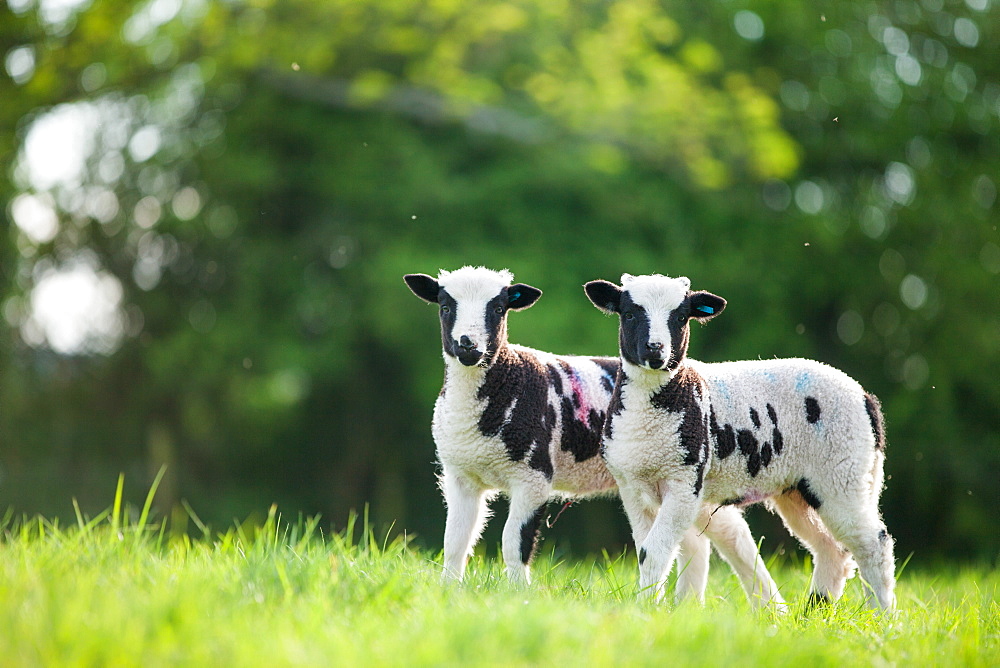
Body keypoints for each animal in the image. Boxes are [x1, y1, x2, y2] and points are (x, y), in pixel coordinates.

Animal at [402, 266, 784, 612]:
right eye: (445, 306)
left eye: (497, 309)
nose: (469, 346)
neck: (505, 378)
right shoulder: (461, 476)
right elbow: (455, 541)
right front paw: (448, 594)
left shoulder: (534, 475)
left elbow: (514, 542)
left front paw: (517, 597)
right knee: (695, 542)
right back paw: (689, 606)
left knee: (734, 537)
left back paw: (770, 608)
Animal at [584, 272, 896, 612]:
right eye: (629, 314)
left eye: (680, 317)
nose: (656, 351)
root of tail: (866, 399)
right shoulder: (633, 488)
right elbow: (645, 551)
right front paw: (648, 606)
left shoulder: (685, 482)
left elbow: (652, 551)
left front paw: (647, 609)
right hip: (802, 487)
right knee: (833, 549)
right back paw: (813, 612)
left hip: (843, 470)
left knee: (873, 543)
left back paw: (881, 616)